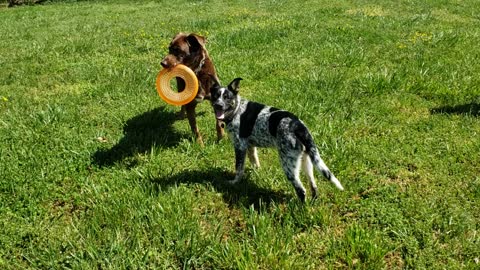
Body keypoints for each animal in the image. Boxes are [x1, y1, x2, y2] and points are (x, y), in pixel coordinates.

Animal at [211, 77, 344, 201]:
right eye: (215, 96)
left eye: (227, 97)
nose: (218, 105)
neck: (237, 110)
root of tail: (298, 126)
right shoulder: (250, 147)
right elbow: (255, 163)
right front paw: (257, 173)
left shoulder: (240, 147)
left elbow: (239, 169)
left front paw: (234, 183)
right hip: (307, 161)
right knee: (313, 185)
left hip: (288, 165)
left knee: (301, 190)